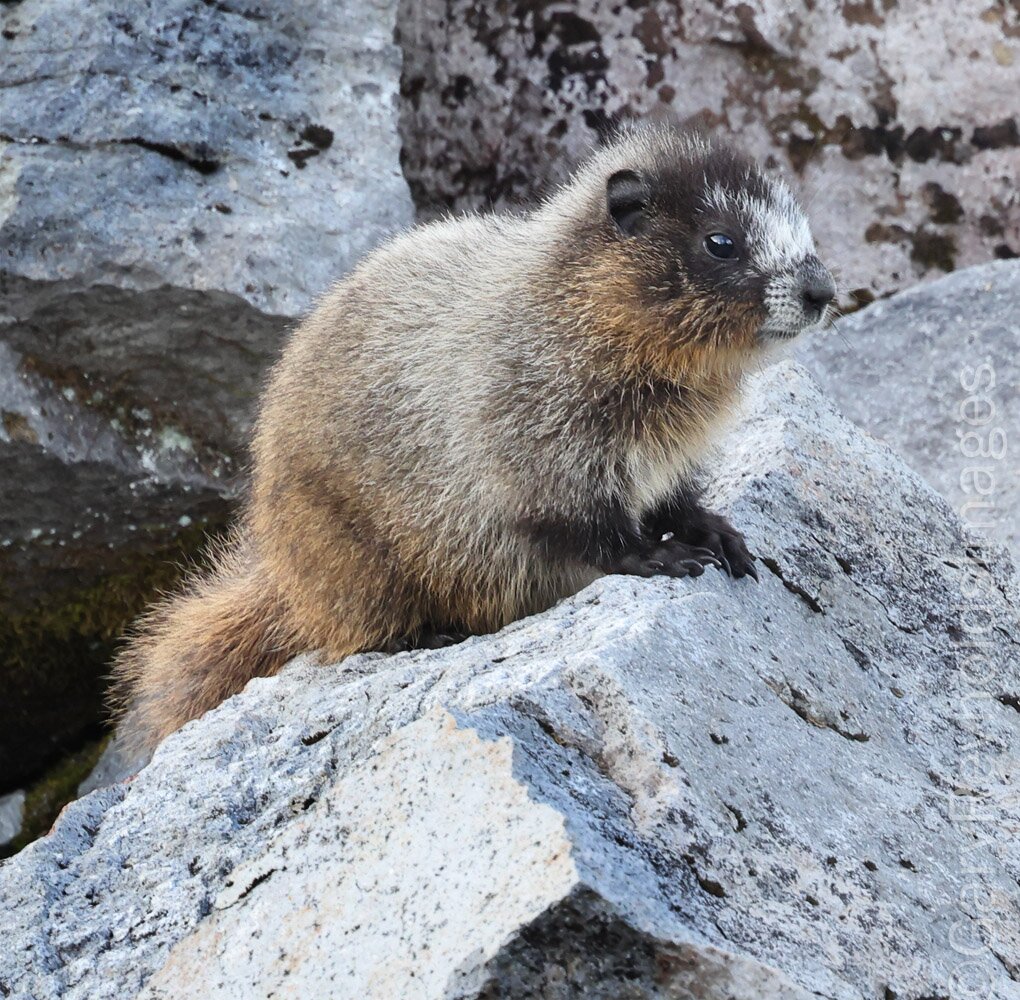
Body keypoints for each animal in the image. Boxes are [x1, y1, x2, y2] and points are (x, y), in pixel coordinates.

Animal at [111, 123, 835, 753]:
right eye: (721, 242)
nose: (824, 289)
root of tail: (279, 575)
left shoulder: (670, 439)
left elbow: (671, 489)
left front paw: (715, 530)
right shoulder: (534, 397)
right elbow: (560, 501)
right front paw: (657, 554)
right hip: (345, 551)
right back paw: (424, 635)